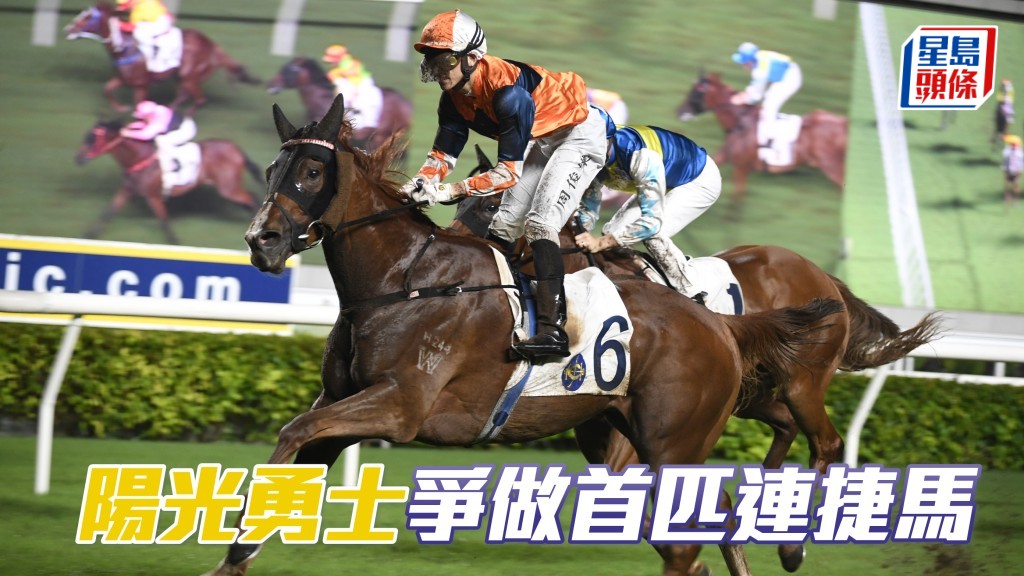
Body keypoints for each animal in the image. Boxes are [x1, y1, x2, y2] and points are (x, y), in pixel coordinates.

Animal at [64, 3, 260, 115]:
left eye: (87, 17)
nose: (68, 29)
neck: (124, 47)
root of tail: (211, 44)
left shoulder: (141, 85)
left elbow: (139, 105)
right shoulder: (123, 78)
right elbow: (107, 89)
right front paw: (120, 108)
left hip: (190, 77)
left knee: (198, 100)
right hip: (182, 77)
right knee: (183, 96)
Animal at [75, 119, 262, 244]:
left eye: (91, 139)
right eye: (85, 137)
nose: (78, 159)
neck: (139, 158)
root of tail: (236, 149)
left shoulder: (153, 196)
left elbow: (163, 220)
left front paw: (175, 243)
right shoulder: (126, 190)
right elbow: (109, 211)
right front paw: (88, 235)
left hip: (228, 188)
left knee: (252, 198)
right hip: (228, 188)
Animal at [204, 94, 846, 576]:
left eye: (313, 172)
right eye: (271, 171)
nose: (260, 240)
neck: (403, 280)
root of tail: (718, 322)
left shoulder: (400, 405)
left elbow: (291, 433)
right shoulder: (343, 401)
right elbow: (298, 443)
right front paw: (235, 556)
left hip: (675, 443)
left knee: (709, 526)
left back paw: (790, 540)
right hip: (648, 438)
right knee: (715, 520)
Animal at [451, 191, 942, 572]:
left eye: (493, 206)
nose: (459, 250)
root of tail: (823, 276)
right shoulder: (601, 423)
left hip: (802, 383)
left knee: (826, 442)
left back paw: (791, 545)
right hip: (748, 392)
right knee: (785, 424)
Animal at [676, 72, 848, 200]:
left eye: (696, 92)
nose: (679, 111)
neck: (739, 122)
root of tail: (843, 123)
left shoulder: (742, 166)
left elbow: (737, 195)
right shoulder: (727, 156)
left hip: (832, 167)